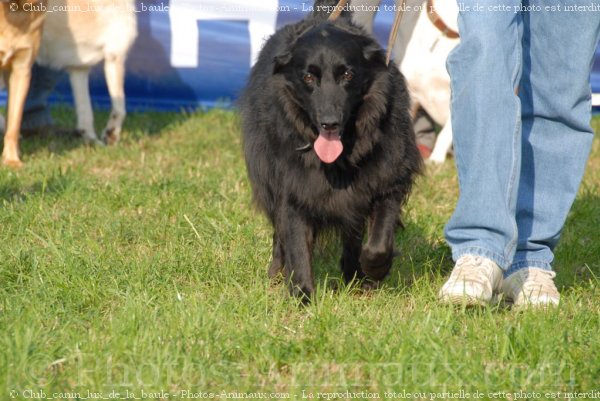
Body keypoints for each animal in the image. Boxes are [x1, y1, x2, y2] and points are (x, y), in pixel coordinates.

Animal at [37, 0, 139, 144]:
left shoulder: (79, 69)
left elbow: (85, 111)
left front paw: (91, 140)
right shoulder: (115, 55)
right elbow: (120, 108)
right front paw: (111, 134)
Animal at [239, 10, 422, 300]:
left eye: (347, 74)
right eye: (308, 78)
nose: (329, 123)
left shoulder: (388, 179)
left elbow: (378, 239)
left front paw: (373, 269)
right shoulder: (293, 188)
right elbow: (296, 244)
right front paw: (302, 296)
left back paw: (354, 275)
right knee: (280, 233)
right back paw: (277, 271)